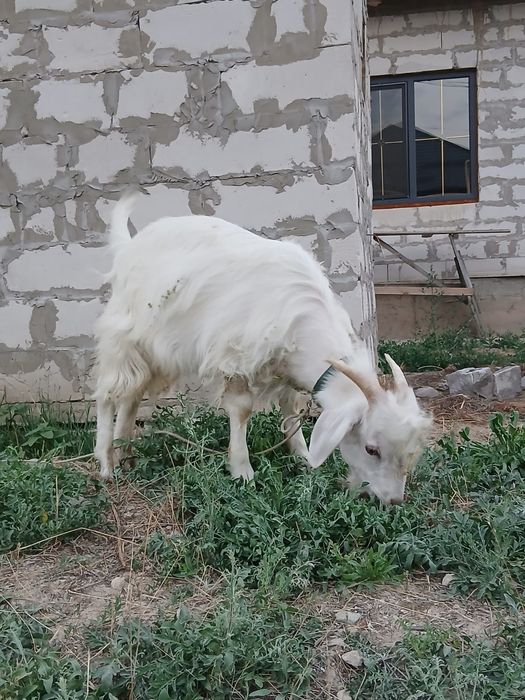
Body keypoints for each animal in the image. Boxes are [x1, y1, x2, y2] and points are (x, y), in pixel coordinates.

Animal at [94, 194, 432, 504]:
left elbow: (291, 409)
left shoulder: (285, 366)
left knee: (131, 397)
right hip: (124, 337)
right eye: (371, 449)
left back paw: (126, 455)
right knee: (108, 395)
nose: (393, 501)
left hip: (155, 355)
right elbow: (242, 409)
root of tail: (128, 247)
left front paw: (303, 458)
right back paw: (106, 464)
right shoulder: (235, 357)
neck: (303, 313)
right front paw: (242, 471)